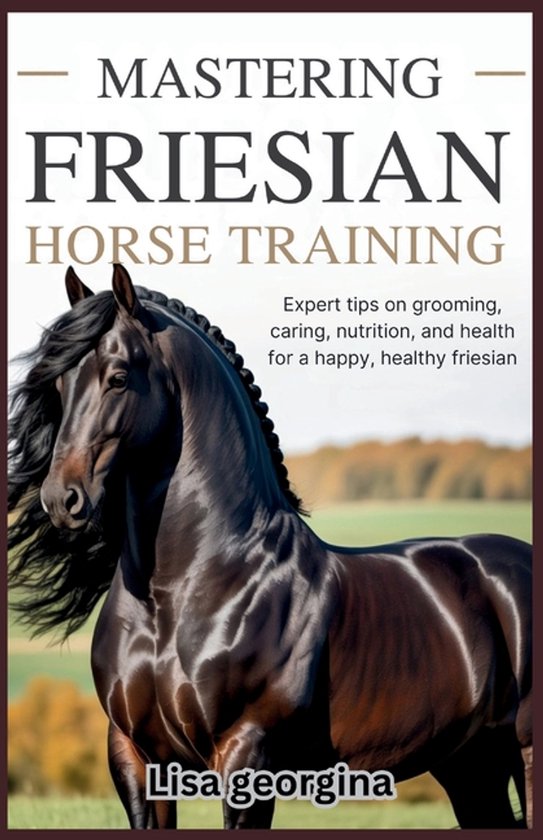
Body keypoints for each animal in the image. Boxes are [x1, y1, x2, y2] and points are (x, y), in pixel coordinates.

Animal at [8, 264, 532, 829]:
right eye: (59, 383)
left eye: (119, 376)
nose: (62, 498)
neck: (178, 595)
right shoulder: (134, 755)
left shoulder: (246, 754)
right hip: (469, 764)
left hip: (522, 749)